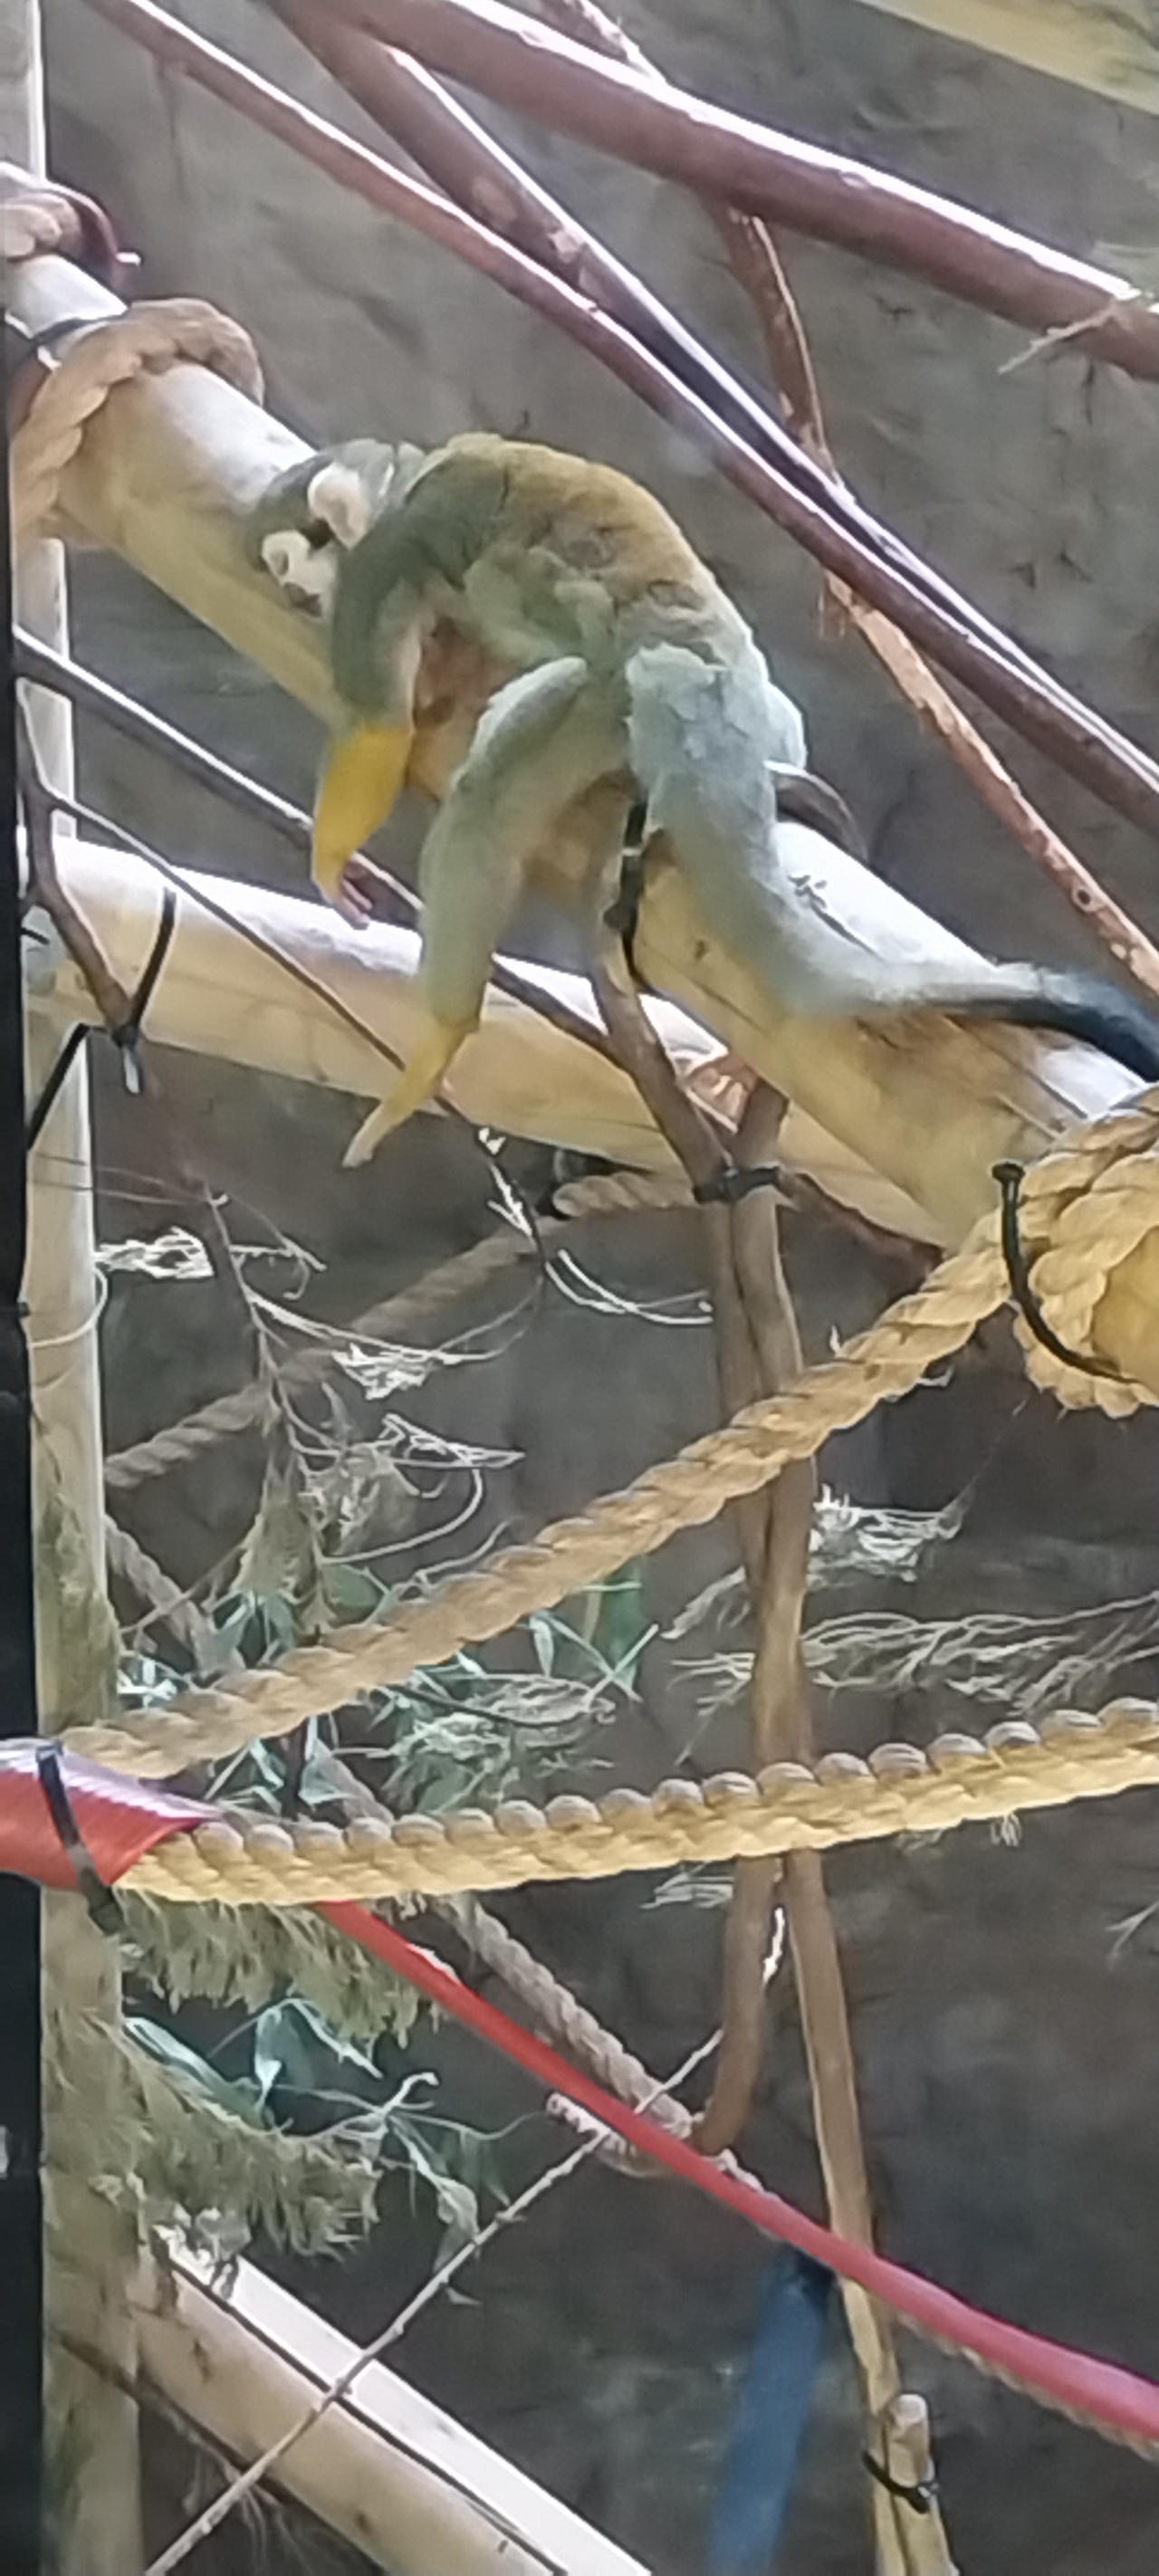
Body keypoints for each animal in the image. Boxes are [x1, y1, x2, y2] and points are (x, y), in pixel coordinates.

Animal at [249, 433, 1159, 1165]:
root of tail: (721, 675)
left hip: (638, 694)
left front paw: (329, 859)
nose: (291, 596)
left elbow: (379, 723)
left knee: (494, 796)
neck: (407, 479)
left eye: (290, 563)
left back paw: (441, 1037)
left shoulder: (388, 555)